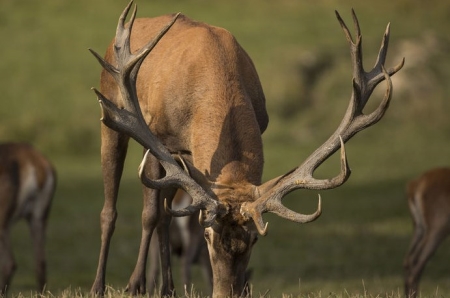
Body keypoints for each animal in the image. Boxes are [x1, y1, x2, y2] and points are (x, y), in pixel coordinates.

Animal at [88, 1, 404, 296]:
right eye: (208, 237)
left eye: (253, 239)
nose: (226, 292)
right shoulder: (158, 135)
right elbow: (150, 214)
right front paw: (134, 285)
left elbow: (166, 214)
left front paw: (165, 288)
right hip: (114, 117)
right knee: (113, 210)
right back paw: (102, 285)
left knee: (166, 215)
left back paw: (168, 288)